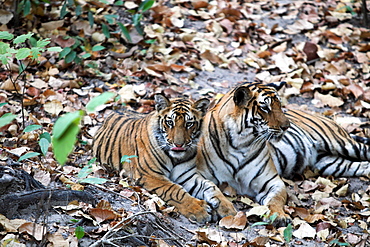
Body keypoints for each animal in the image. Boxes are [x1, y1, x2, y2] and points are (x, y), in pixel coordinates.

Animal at [94, 93, 236, 223]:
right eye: (170, 122)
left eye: (189, 124)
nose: (178, 144)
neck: (175, 158)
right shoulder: (151, 175)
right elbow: (175, 190)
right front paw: (199, 210)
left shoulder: (187, 176)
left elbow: (211, 186)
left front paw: (228, 208)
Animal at [197, 82, 370, 225]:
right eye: (265, 108)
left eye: (280, 106)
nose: (287, 126)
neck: (240, 144)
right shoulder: (200, 174)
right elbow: (212, 188)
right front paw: (222, 209)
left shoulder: (272, 182)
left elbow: (275, 201)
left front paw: (278, 216)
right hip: (329, 163)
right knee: (361, 166)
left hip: (342, 143)